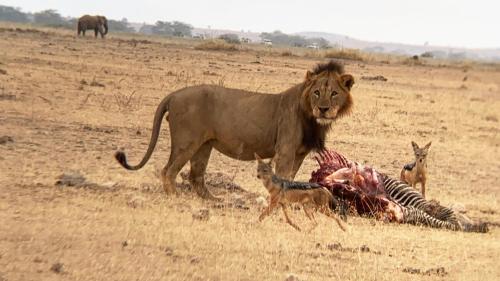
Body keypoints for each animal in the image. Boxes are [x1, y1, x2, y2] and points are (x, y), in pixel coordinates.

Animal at [114, 60, 354, 198]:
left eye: (334, 93)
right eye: (316, 92)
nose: (323, 109)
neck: (312, 118)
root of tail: (174, 94)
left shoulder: (300, 153)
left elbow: (291, 179)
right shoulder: (285, 150)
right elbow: (284, 177)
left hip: (204, 145)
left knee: (195, 176)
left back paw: (212, 200)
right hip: (187, 142)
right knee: (169, 171)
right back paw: (175, 198)